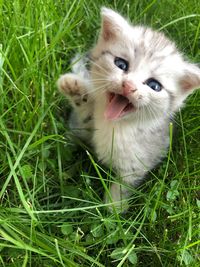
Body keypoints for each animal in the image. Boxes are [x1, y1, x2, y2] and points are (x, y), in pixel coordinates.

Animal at [56, 7, 200, 211]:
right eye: (121, 64)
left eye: (154, 85)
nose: (128, 85)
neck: (114, 124)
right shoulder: (83, 127)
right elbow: (84, 116)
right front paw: (75, 89)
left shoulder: (137, 163)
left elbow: (123, 185)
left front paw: (113, 208)